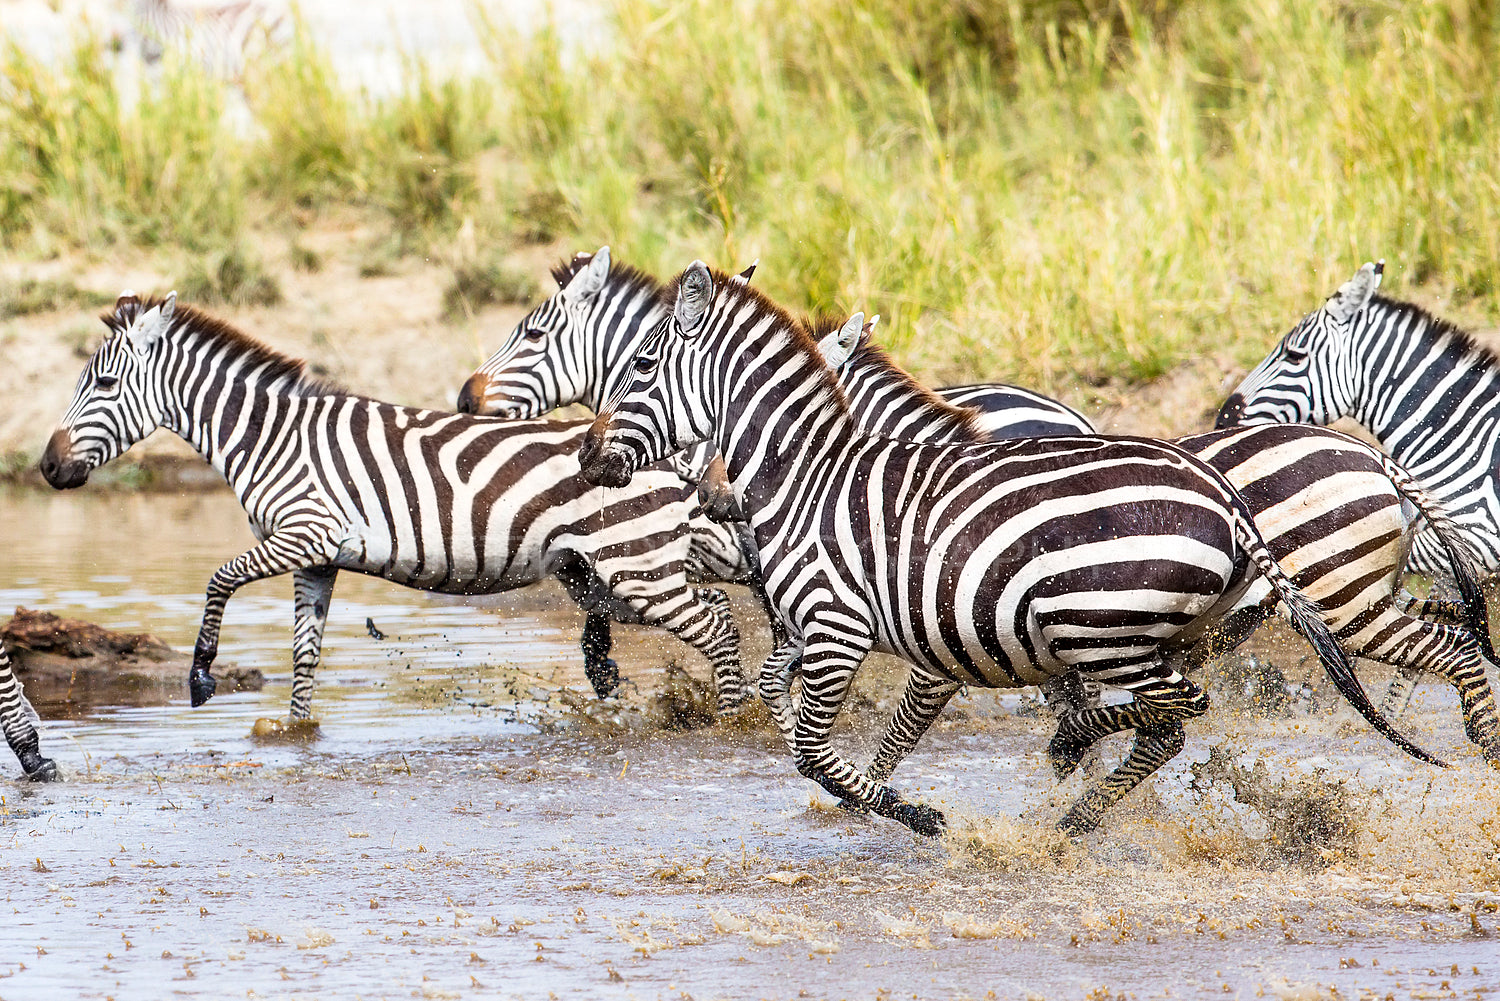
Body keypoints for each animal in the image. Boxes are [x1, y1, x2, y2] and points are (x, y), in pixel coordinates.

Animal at [39, 289, 756, 720]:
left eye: (103, 383)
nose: (47, 466)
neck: (269, 436)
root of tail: (666, 451)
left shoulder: (301, 533)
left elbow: (218, 579)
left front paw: (201, 677)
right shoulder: (317, 557)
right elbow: (305, 652)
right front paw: (297, 730)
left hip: (636, 565)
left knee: (719, 627)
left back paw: (731, 718)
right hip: (610, 573)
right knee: (721, 612)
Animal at [810, 321, 1500, 768]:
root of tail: (1373, 456)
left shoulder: (958, 629)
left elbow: (902, 729)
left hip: (1342, 598)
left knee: (1447, 648)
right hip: (1362, 589)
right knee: (1452, 633)